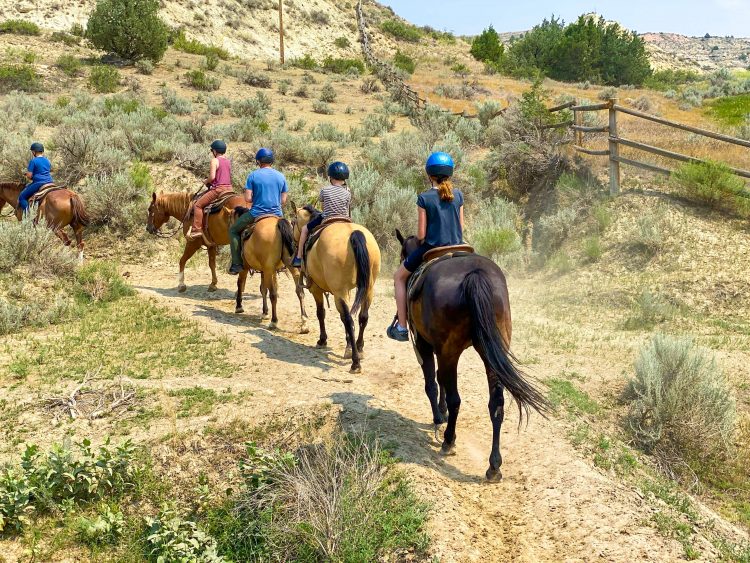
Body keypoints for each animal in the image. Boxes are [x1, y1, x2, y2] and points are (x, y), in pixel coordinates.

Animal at [292, 207, 382, 374]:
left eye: (293, 221)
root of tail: (354, 234)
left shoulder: (316, 289)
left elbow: (321, 313)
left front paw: (322, 340)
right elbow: (343, 317)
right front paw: (348, 346)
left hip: (340, 291)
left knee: (349, 319)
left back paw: (355, 362)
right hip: (368, 288)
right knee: (362, 317)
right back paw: (359, 348)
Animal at [396, 229, 548, 480]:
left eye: (401, 254)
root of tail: (475, 275)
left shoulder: (424, 344)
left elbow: (432, 383)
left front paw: (438, 418)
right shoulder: (440, 349)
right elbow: (441, 380)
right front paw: (441, 413)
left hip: (450, 351)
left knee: (455, 398)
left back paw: (448, 441)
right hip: (490, 352)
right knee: (496, 404)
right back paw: (494, 466)